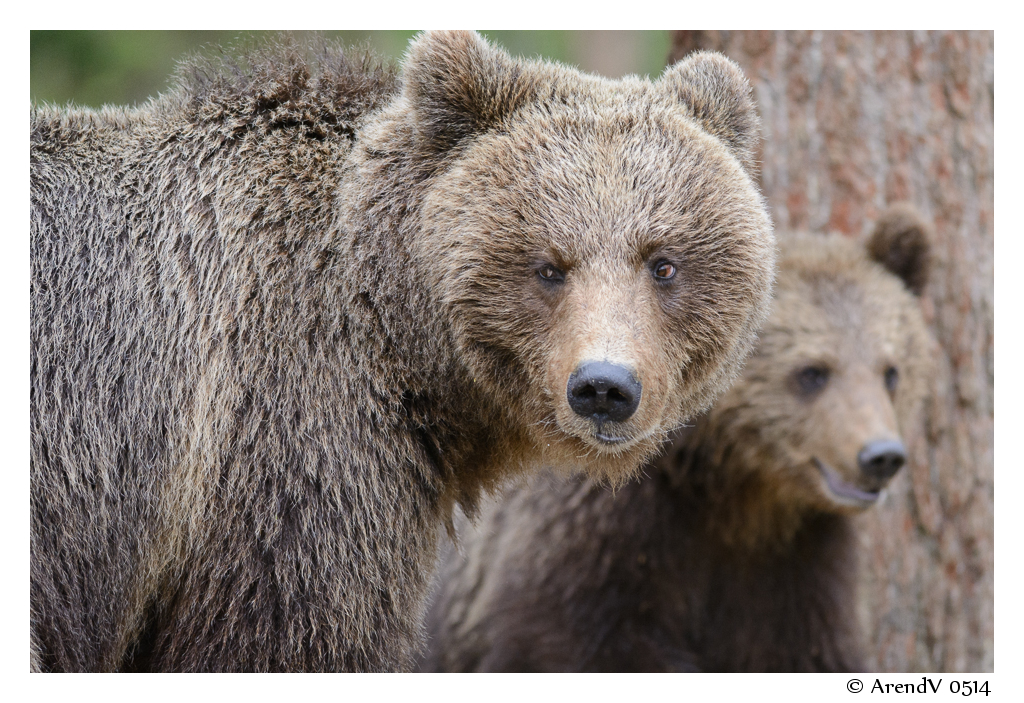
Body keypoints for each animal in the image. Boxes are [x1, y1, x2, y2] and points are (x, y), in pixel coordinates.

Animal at [417, 203, 937, 671]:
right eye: (812, 372)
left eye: (891, 372)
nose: (881, 456)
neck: (735, 491)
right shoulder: (597, 536)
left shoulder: (796, 565)